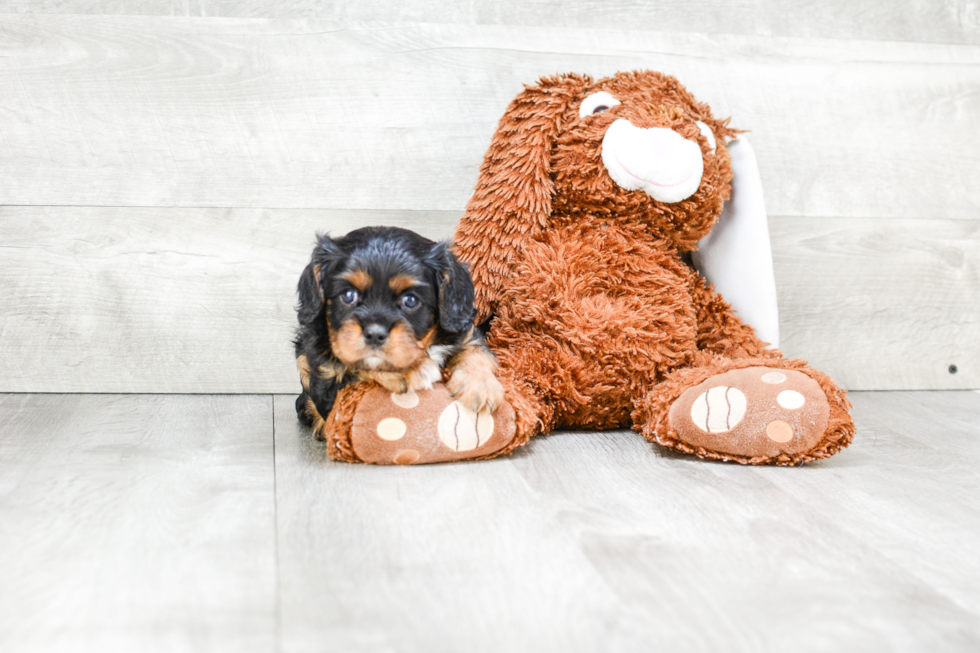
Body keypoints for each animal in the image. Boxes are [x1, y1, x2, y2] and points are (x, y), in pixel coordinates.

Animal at [292, 225, 506, 438]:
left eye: (410, 300)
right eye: (348, 295)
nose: (374, 334)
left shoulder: (465, 334)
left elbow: (477, 352)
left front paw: (481, 387)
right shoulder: (326, 381)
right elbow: (357, 367)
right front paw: (413, 370)